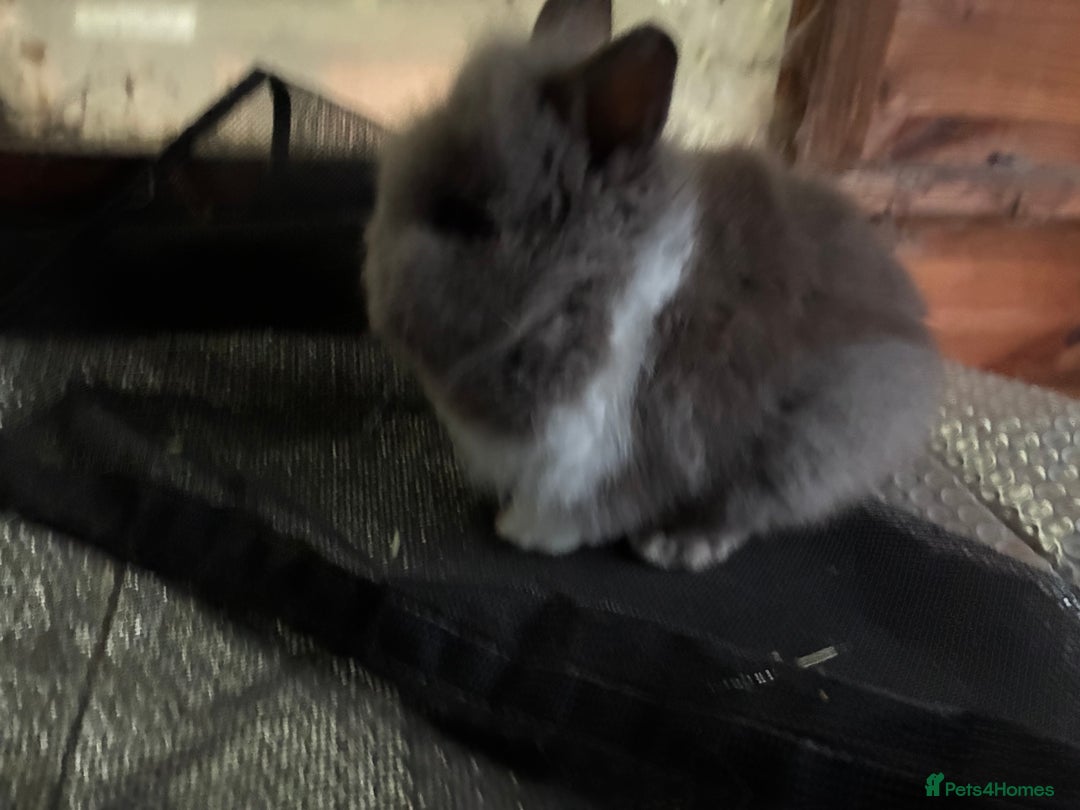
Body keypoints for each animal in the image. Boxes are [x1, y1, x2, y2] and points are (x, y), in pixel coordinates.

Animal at [362, 0, 941, 571]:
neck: (586, 283)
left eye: (470, 221)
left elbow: (591, 506)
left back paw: (676, 544)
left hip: (798, 449)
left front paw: (522, 531)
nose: (378, 300)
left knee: (745, 508)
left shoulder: (618, 445)